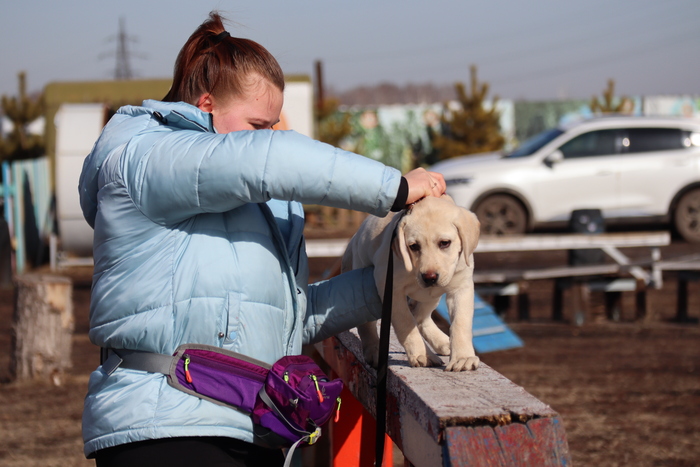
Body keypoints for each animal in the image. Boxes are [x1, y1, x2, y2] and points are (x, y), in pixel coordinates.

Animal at [341, 194, 481, 372]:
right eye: (413, 246)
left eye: (445, 243)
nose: (429, 277)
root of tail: (354, 239)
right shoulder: (389, 286)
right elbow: (406, 322)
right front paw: (421, 354)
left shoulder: (461, 288)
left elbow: (460, 323)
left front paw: (463, 358)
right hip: (364, 281)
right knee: (368, 324)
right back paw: (374, 351)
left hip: (431, 296)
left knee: (420, 316)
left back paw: (442, 342)